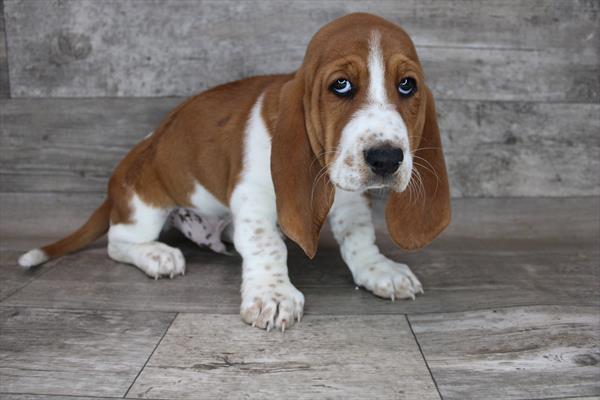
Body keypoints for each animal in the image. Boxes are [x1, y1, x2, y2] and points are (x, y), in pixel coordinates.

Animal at [18, 12, 450, 332]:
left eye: (407, 85)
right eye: (341, 85)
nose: (386, 158)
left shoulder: (350, 200)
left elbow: (359, 239)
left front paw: (379, 270)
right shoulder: (253, 200)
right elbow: (267, 245)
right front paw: (273, 295)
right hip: (146, 205)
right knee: (117, 241)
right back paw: (158, 255)